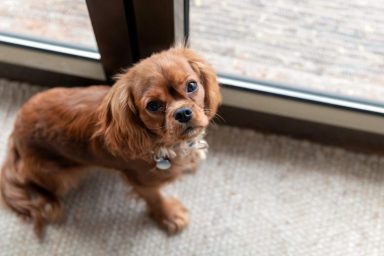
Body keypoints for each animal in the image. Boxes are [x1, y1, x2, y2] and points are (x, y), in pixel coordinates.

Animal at [0, 46, 220, 236]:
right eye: (153, 105)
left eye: (192, 85)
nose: (182, 112)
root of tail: (15, 132)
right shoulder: (141, 181)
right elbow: (155, 198)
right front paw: (169, 215)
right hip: (59, 176)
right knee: (29, 179)